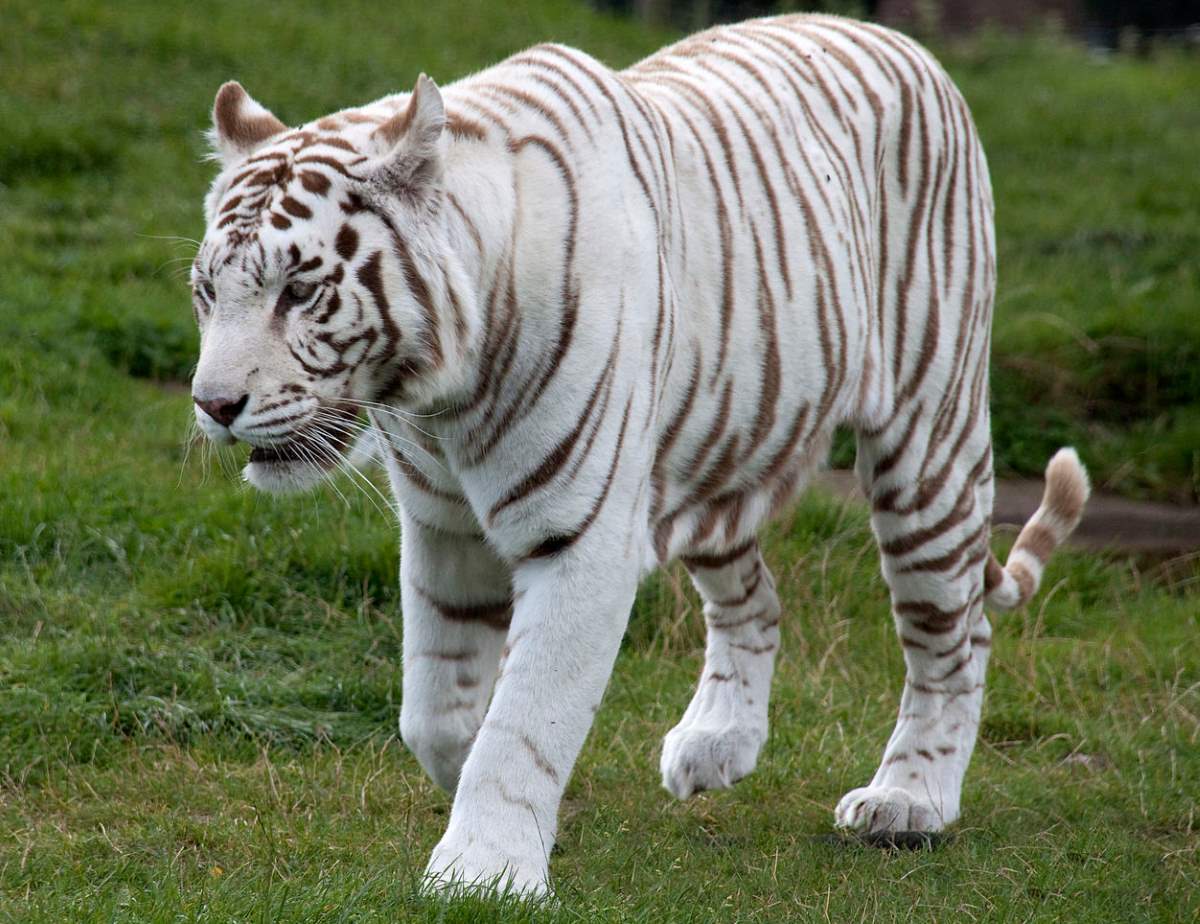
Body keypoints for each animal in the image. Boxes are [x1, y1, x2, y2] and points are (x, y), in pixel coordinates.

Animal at [188, 13, 1089, 895]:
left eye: (299, 291)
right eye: (206, 292)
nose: (213, 405)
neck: (438, 400)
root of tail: (901, 42)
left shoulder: (578, 536)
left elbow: (526, 714)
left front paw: (484, 869)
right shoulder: (443, 529)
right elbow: (436, 713)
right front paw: (506, 811)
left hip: (926, 443)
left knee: (954, 635)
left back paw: (910, 800)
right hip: (715, 449)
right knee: (756, 600)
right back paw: (719, 744)